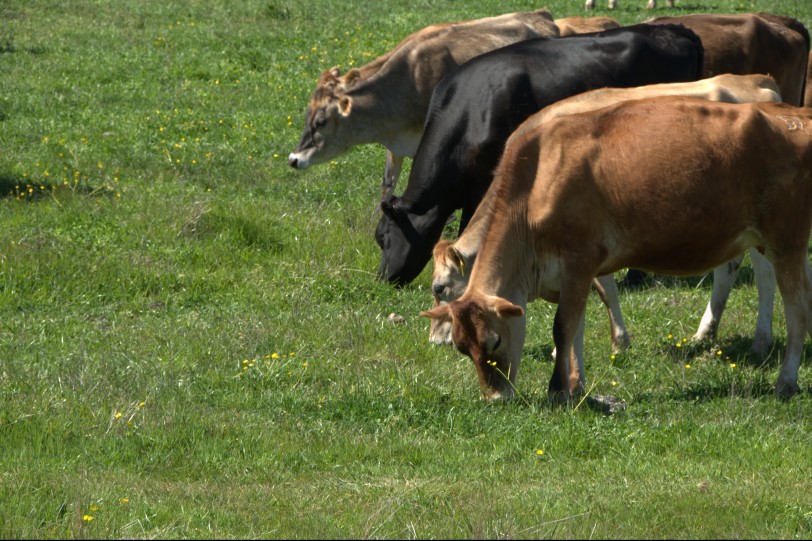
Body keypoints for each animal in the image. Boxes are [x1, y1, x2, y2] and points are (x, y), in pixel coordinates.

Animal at [288, 7, 560, 202]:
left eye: (322, 122)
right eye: (306, 116)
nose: (293, 158)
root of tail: (540, 14)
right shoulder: (396, 146)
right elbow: (387, 187)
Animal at [374, 24, 704, 286]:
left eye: (384, 237)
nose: (382, 280)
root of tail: (676, 29)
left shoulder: (486, 180)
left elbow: (472, 224)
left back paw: (637, 275)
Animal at [422, 96, 812, 400]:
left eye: (494, 343)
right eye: (463, 348)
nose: (495, 398)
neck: (535, 182)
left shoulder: (579, 259)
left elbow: (563, 327)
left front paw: (557, 390)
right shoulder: (570, 276)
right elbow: (576, 328)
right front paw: (577, 386)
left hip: (786, 241)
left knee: (797, 312)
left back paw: (785, 381)